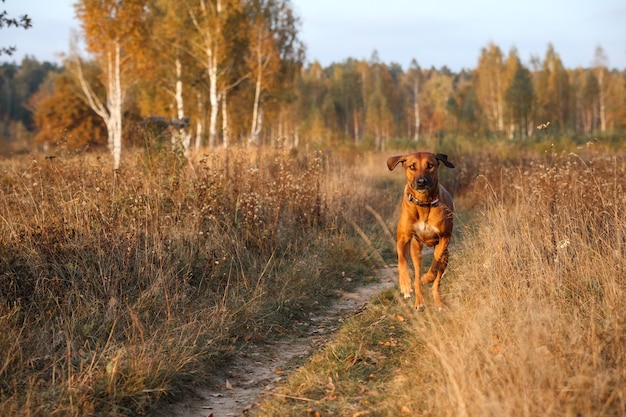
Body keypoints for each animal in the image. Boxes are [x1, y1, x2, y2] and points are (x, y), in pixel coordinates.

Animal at [386, 151, 454, 310]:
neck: (423, 203)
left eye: (430, 165)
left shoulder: (444, 238)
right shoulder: (403, 238)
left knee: (436, 281)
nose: (421, 182)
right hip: (416, 250)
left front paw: (427, 278)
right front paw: (405, 285)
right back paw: (419, 301)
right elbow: (402, 261)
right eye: (412, 166)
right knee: (416, 277)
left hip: (446, 256)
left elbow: (434, 266)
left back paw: (438, 301)